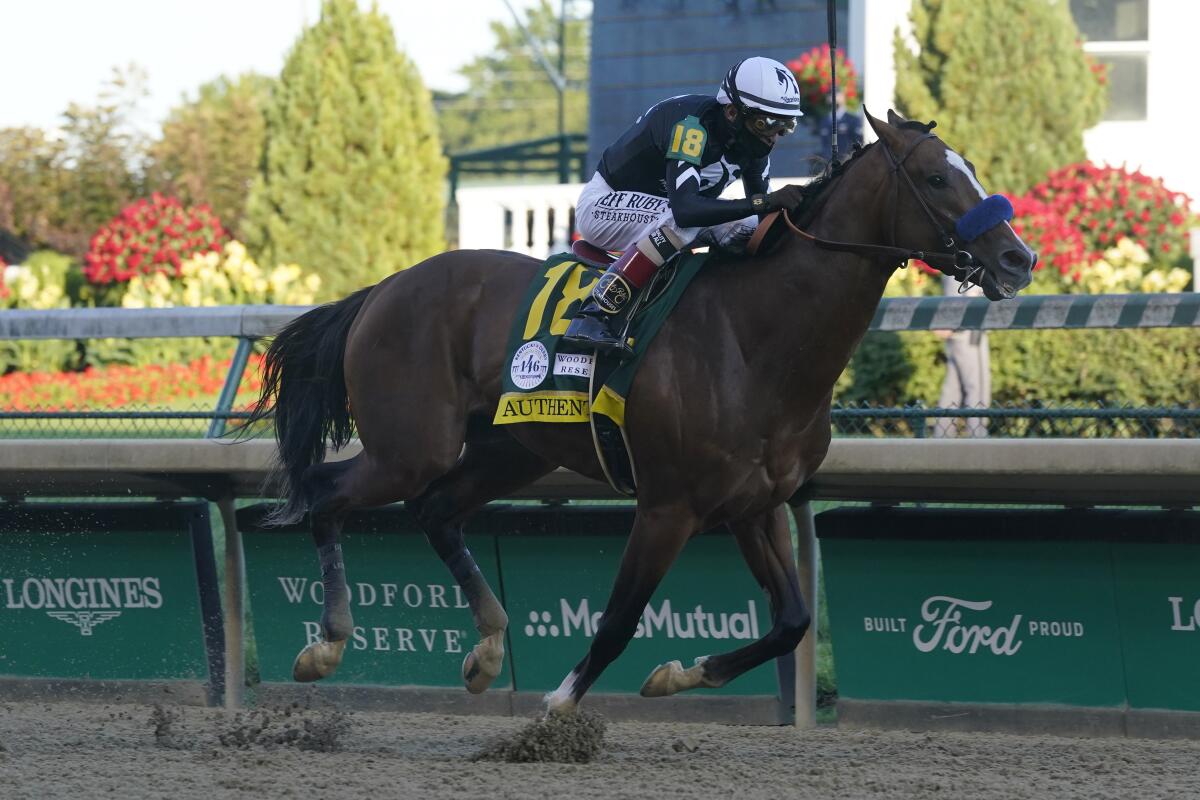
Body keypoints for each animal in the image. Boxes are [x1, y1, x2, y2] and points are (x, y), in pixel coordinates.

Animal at [243, 110, 1032, 714]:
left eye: (969, 167)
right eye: (937, 178)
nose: (1017, 258)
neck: (756, 338)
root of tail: (383, 288)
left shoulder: (755, 504)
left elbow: (793, 621)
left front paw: (681, 673)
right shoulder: (667, 505)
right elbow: (621, 617)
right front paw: (560, 704)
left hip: (510, 449)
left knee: (434, 510)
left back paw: (487, 649)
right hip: (412, 445)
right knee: (327, 496)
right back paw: (327, 644)